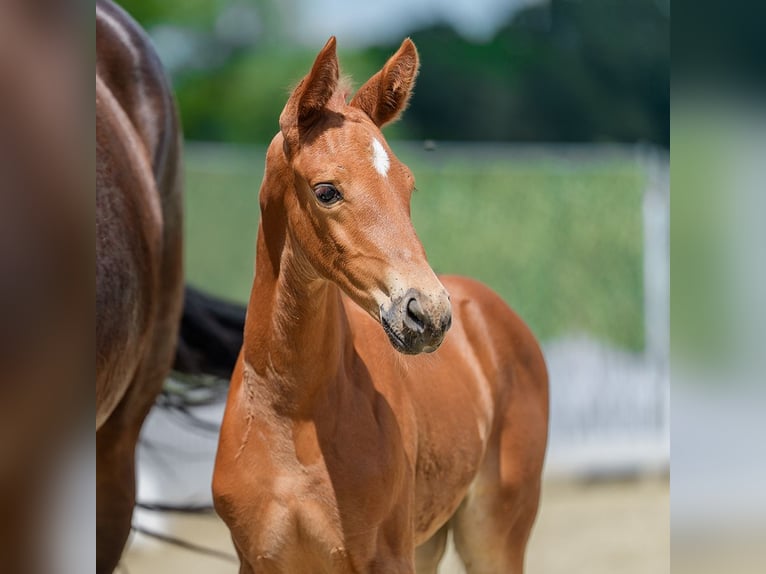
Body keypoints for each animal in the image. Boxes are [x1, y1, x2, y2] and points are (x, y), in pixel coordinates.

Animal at [212, 37, 549, 573]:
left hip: (493, 534)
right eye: (326, 190)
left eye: (407, 186)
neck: (290, 413)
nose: (430, 314)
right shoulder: (257, 558)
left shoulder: (385, 556)